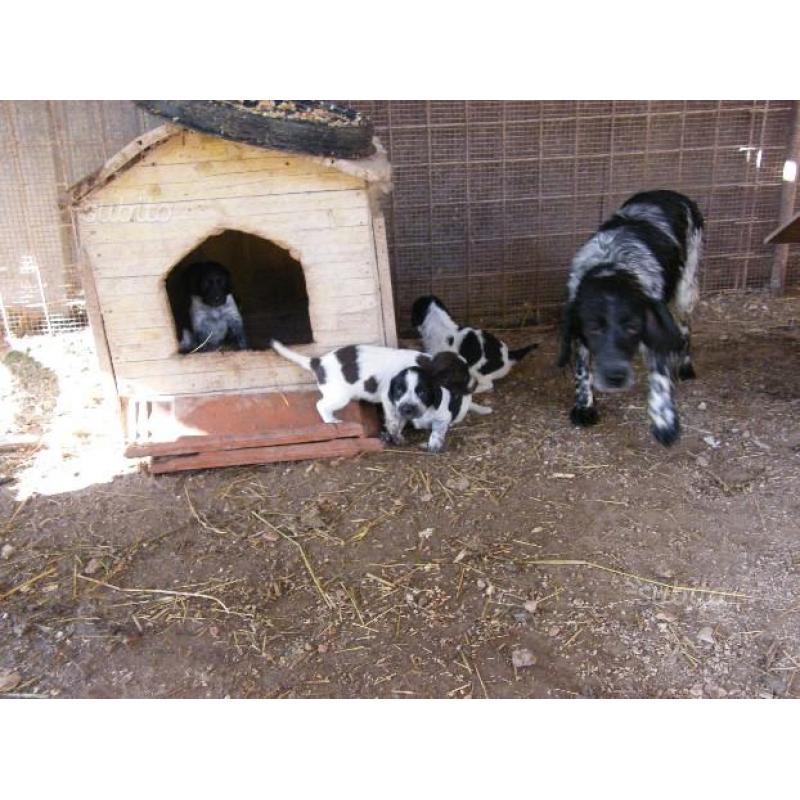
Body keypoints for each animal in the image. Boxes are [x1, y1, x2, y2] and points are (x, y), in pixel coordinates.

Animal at [272, 338, 490, 454]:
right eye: (462, 376)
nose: (475, 386)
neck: (425, 363)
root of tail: (318, 362)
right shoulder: (391, 399)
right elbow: (394, 421)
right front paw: (396, 436)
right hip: (339, 396)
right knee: (321, 405)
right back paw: (331, 421)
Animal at [560, 191, 704, 446]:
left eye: (633, 327)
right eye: (593, 328)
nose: (615, 377)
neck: (612, 264)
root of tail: (671, 193)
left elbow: (659, 376)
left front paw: (665, 421)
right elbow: (582, 369)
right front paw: (584, 406)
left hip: (686, 291)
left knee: (686, 328)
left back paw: (685, 365)